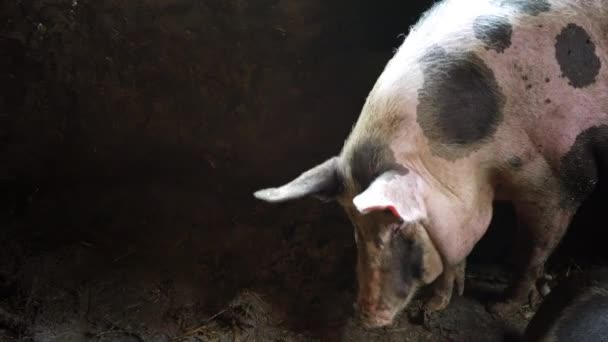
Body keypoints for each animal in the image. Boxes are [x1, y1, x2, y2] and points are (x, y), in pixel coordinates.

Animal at [252, 0, 608, 328]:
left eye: (397, 225)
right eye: (354, 223)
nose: (366, 317)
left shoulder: (560, 176)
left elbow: (534, 250)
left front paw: (500, 307)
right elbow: (456, 251)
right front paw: (435, 306)